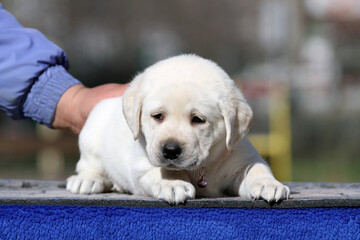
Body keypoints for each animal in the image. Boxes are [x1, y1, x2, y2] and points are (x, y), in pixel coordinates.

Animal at [67, 54, 290, 204]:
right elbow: (162, 169)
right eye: (157, 116)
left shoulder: (241, 157)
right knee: (89, 165)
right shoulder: (141, 167)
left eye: (198, 119)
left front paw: (268, 183)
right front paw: (173, 183)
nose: (170, 150)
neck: (200, 168)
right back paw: (86, 181)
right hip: (91, 137)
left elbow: (256, 168)